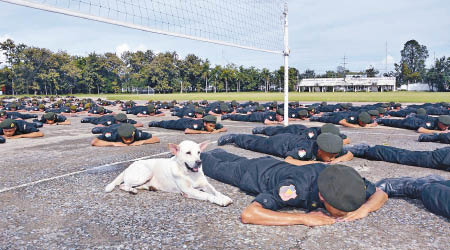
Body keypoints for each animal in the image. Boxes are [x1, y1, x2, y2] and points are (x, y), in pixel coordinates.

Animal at [104, 140, 234, 206]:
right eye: (188, 153)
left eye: (198, 152)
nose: (199, 162)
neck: (189, 173)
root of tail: (129, 166)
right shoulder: (188, 190)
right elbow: (207, 195)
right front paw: (220, 200)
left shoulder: (205, 185)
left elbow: (215, 191)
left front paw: (223, 197)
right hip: (146, 172)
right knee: (123, 185)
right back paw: (132, 190)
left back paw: (150, 187)